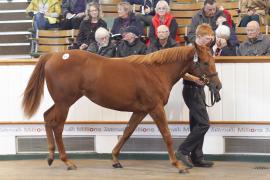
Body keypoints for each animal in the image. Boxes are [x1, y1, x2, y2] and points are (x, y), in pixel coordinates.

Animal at [22, 43, 221, 173]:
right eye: (204, 62)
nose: (217, 86)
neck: (156, 72)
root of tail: (54, 55)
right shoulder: (155, 108)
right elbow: (167, 135)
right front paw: (178, 165)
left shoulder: (140, 111)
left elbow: (127, 132)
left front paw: (115, 159)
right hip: (65, 103)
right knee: (58, 127)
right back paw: (67, 162)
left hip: (62, 102)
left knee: (47, 117)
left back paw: (50, 156)